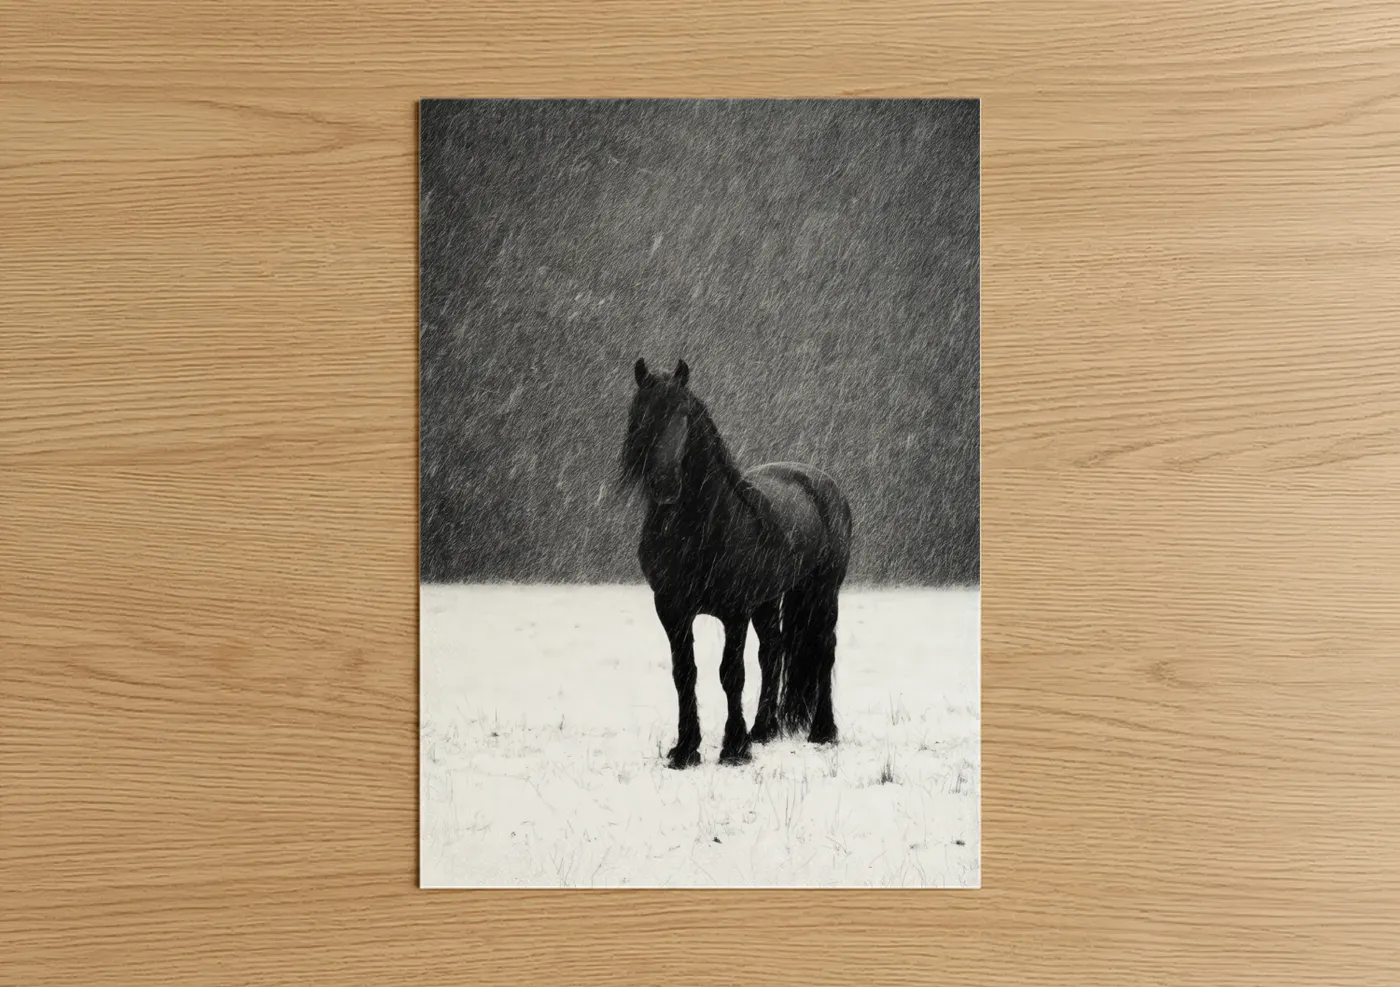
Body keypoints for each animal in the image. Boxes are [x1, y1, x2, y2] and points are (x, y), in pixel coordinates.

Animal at [618, 357, 853, 770]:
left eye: (684, 414)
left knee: (824, 649)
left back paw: (822, 731)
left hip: (823, 591)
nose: (665, 482)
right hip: (770, 600)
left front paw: (733, 748)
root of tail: (823, 483)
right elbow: (685, 673)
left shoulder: (734, 611)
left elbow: (731, 673)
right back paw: (763, 729)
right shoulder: (672, 609)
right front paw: (685, 749)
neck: (698, 529)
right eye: (641, 413)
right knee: (772, 651)